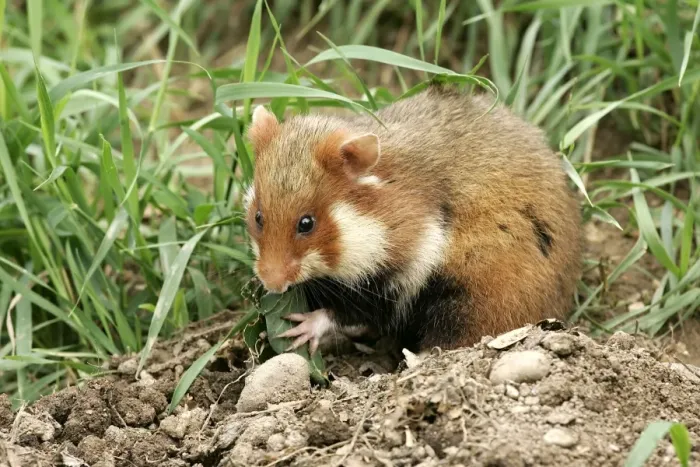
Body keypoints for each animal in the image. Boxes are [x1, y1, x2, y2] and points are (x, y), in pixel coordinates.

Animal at [244, 84, 582, 354]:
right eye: (259, 216)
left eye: (307, 223)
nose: (271, 284)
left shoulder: (405, 271)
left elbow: (348, 312)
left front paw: (300, 328)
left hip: (476, 294)